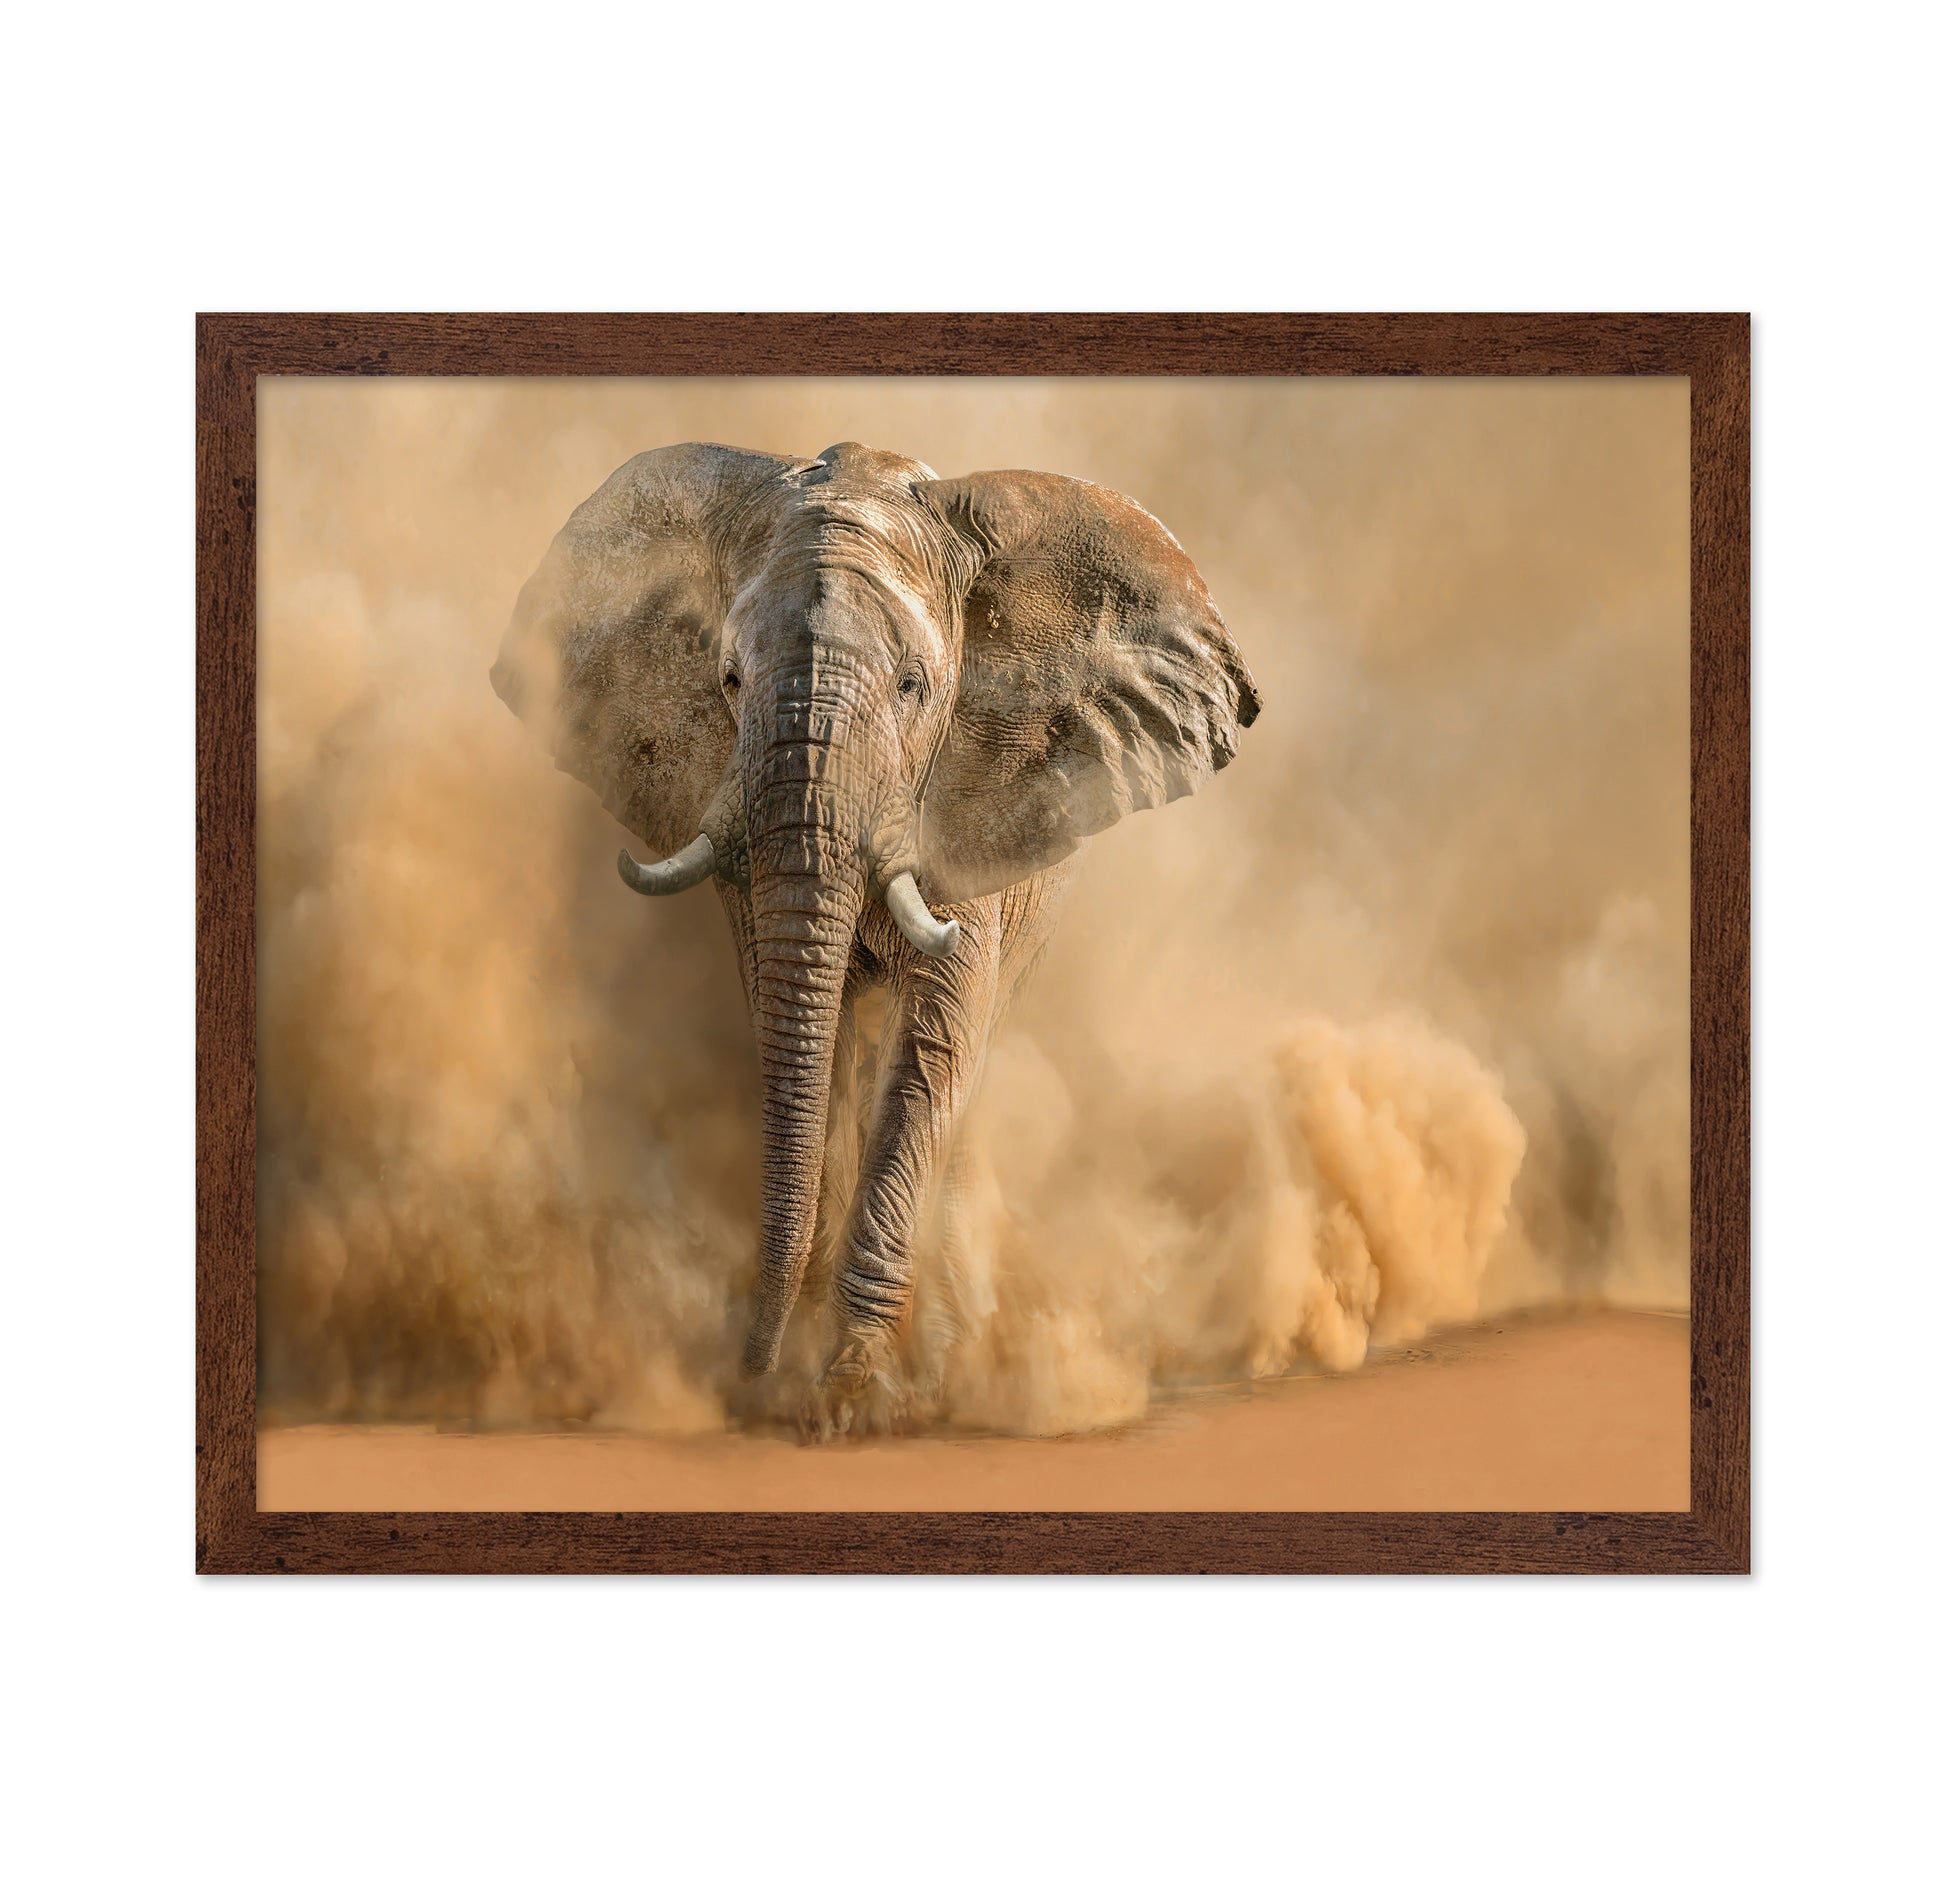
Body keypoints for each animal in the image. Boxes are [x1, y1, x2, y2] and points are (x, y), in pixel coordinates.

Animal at [491, 440, 1260, 1435]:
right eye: (728, 679)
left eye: (912, 687)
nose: (742, 1374)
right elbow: (807, 1038)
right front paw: (803, 1382)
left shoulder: (965, 801)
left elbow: (931, 1052)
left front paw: (850, 1398)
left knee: (967, 1073)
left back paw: (947, 1362)